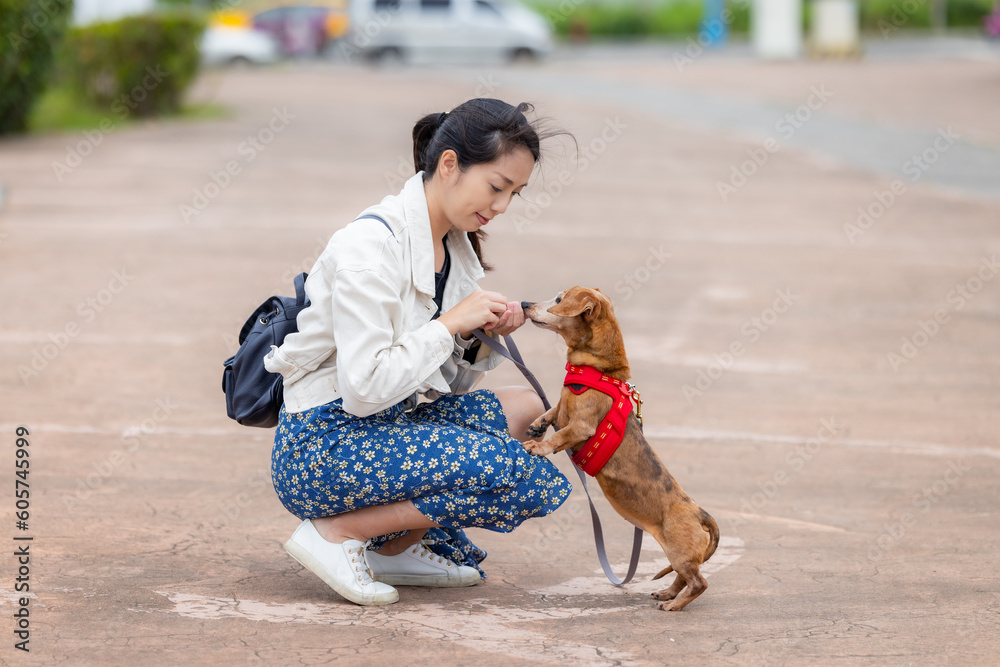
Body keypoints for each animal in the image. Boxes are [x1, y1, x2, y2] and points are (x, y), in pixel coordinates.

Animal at [516, 286, 720, 612]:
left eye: (559, 300)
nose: (524, 304)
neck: (598, 370)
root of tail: (700, 513)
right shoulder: (563, 408)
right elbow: (554, 409)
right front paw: (538, 424)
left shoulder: (581, 426)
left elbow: (560, 436)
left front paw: (539, 445)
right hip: (679, 557)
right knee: (682, 578)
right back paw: (668, 594)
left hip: (679, 552)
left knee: (699, 582)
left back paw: (675, 605)